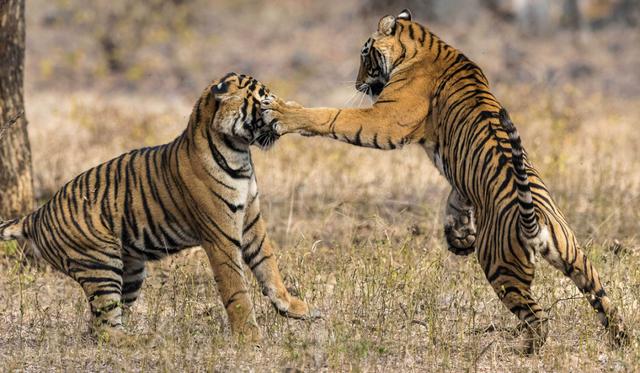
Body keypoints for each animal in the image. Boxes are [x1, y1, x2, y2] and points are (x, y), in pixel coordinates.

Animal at [0, 72, 316, 342]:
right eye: (264, 102)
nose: (283, 113)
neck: (239, 153)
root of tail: (36, 214)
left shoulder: (251, 220)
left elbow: (268, 265)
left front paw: (295, 308)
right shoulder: (220, 236)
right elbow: (236, 289)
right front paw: (249, 337)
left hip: (130, 271)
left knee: (99, 326)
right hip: (100, 265)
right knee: (105, 329)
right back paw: (146, 341)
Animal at [262, 8, 632, 352]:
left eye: (365, 56)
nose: (357, 84)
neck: (425, 43)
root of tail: (535, 221)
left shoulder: (386, 121)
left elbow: (334, 116)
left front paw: (282, 112)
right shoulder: (458, 177)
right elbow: (455, 199)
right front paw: (458, 236)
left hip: (501, 268)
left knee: (538, 318)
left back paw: (525, 349)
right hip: (576, 258)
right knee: (602, 299)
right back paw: (622, 339)